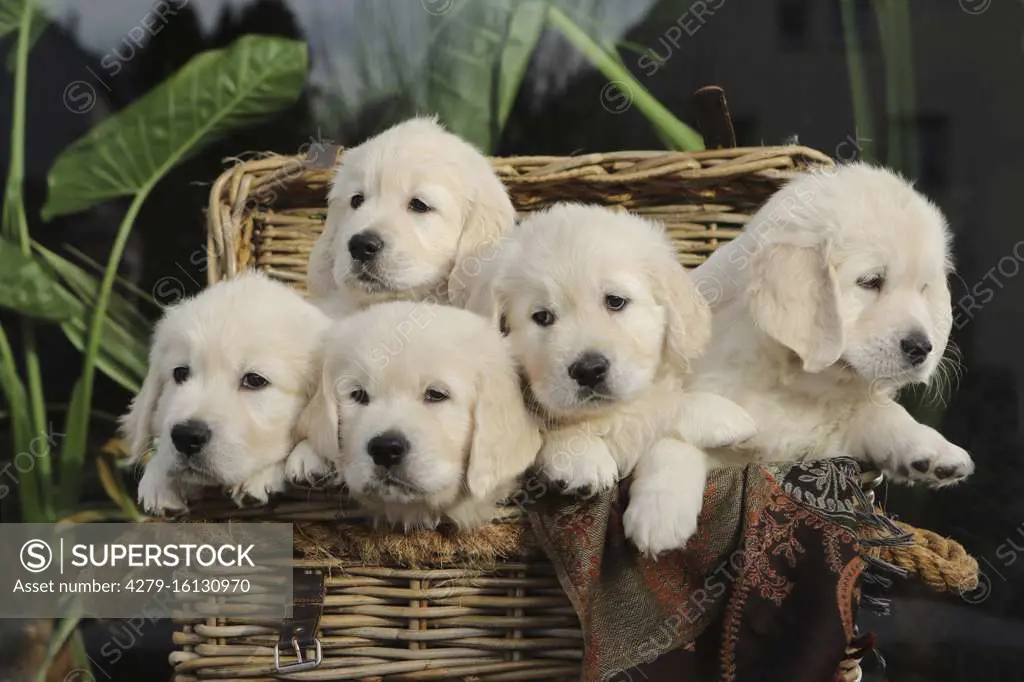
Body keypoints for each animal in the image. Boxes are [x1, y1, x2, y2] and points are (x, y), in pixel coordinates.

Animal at [468, 202, 757, 552]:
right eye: (542, 317)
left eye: (615, 301)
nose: (589, 369)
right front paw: (579, 455)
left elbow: (663, 418)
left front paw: (661, 513)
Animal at [688, 163, 974, 483]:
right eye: (871, 281)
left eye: (923, 288)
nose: (921, 347)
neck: (795, 382)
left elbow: (881, 411)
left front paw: (931, 447)